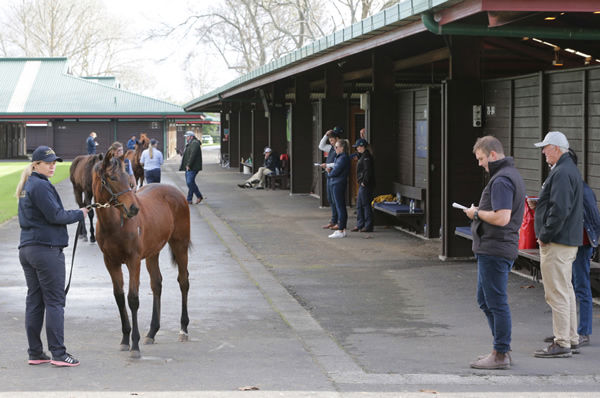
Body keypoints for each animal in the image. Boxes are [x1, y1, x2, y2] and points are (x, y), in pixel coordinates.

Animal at [92, 150, 191, 358]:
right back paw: (152, 333)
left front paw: (135, 345)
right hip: (153, 253)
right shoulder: (110, 262)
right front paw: (124, 340)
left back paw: (183, 329)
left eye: (128, 179)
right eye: (112, 178)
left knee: (184, 281)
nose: (133, 208)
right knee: (157, 284)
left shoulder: (133, 261)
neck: (115, 225)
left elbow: (133, 299)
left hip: (180, 245)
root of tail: (177, 193)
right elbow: (119, 297)